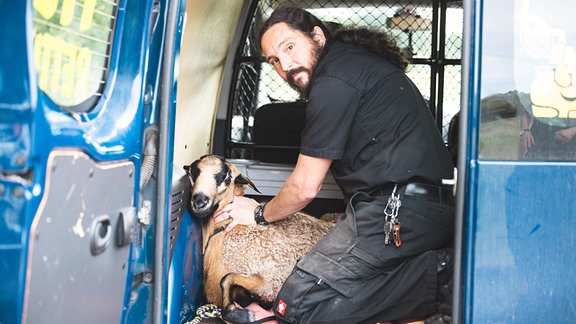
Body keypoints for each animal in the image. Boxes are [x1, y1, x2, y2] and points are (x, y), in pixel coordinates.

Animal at [184, 156, 336, 322]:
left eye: (226, 177)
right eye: (192, 172)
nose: (199, 202)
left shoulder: (272, 281)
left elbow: (226, 279)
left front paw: (243, 315)